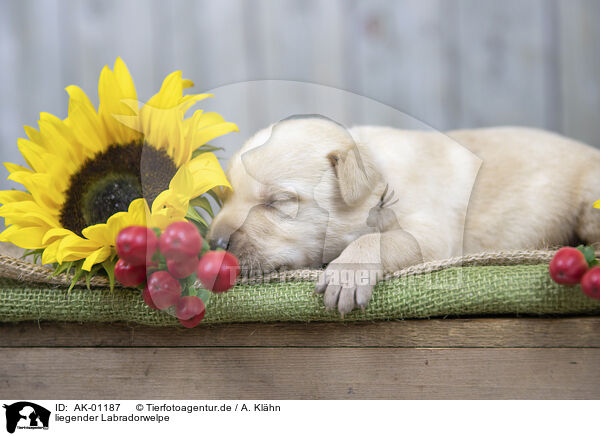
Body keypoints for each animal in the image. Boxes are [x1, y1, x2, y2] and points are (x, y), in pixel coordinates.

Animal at [209, 116, 600, 314]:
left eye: (279, 201)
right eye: (223, 198)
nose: (214, 243)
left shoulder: (433, 234)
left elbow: (379, 239)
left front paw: (346, 273)